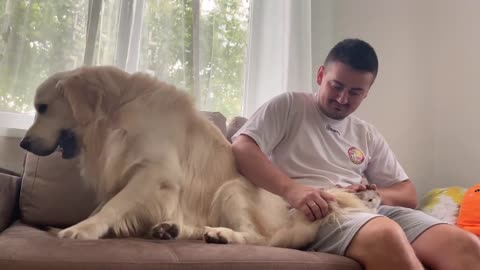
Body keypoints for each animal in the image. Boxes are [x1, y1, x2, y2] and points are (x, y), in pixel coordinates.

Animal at [20, 66, 376, 249]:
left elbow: (113, 205)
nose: (23, 142)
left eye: (43, 107)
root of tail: (296, 215)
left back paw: (222, 234)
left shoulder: (155, 173)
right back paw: (171, 230)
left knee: (259, 239)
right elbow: (107, 203)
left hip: (231, 190)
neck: (116, 113)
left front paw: (83, 229)